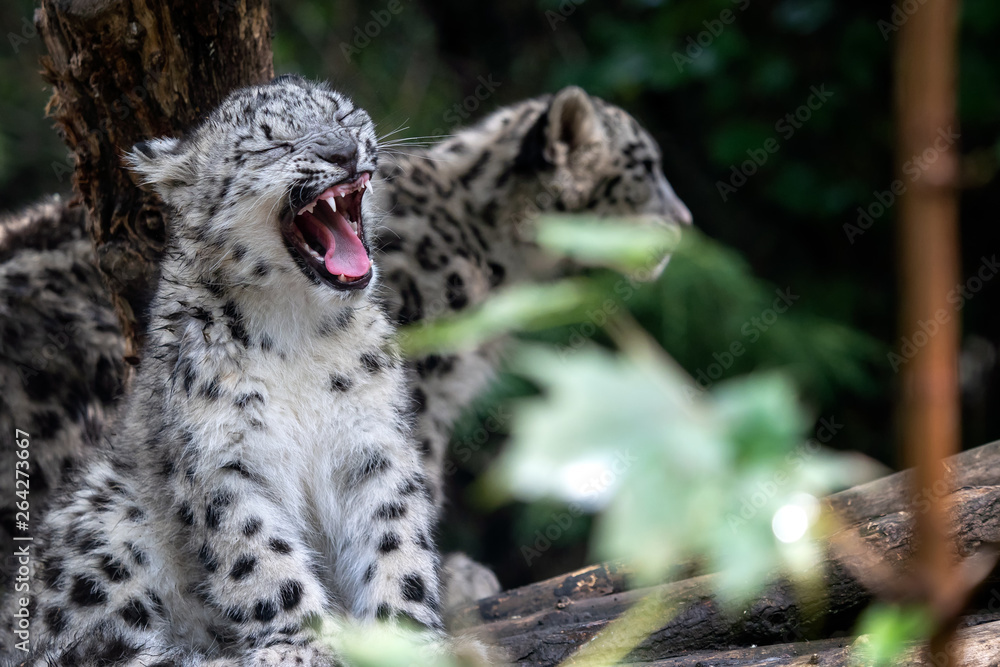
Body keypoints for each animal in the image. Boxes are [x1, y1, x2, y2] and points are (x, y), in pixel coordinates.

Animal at [0, 75, 447, 666]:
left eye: (344, 116)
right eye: (272, 143)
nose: (343, 150)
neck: (298, 330)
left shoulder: (371, 442)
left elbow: (395, 539)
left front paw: (407, 637)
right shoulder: (222, 459)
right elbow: (259, 556)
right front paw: (300, 647)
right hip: (105, 525)